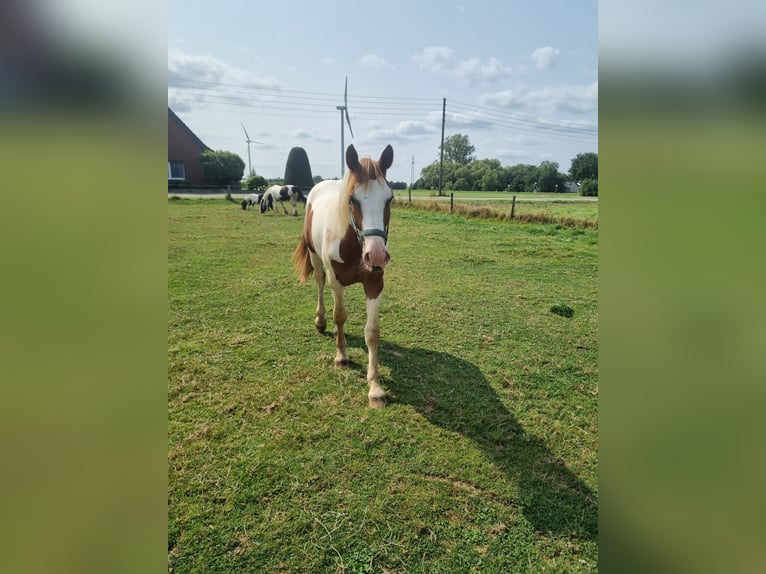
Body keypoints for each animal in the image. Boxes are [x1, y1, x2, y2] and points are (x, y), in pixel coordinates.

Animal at [294, 144, 396, 410]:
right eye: (353, 199)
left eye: (390, 198)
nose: (376, 255)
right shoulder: (336, 281)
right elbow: (339, 315)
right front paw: (341, 356)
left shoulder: (374, 284)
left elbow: (372, 332)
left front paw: (375, 387)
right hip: (316, 259)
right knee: (320, 287)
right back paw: (320, 321)